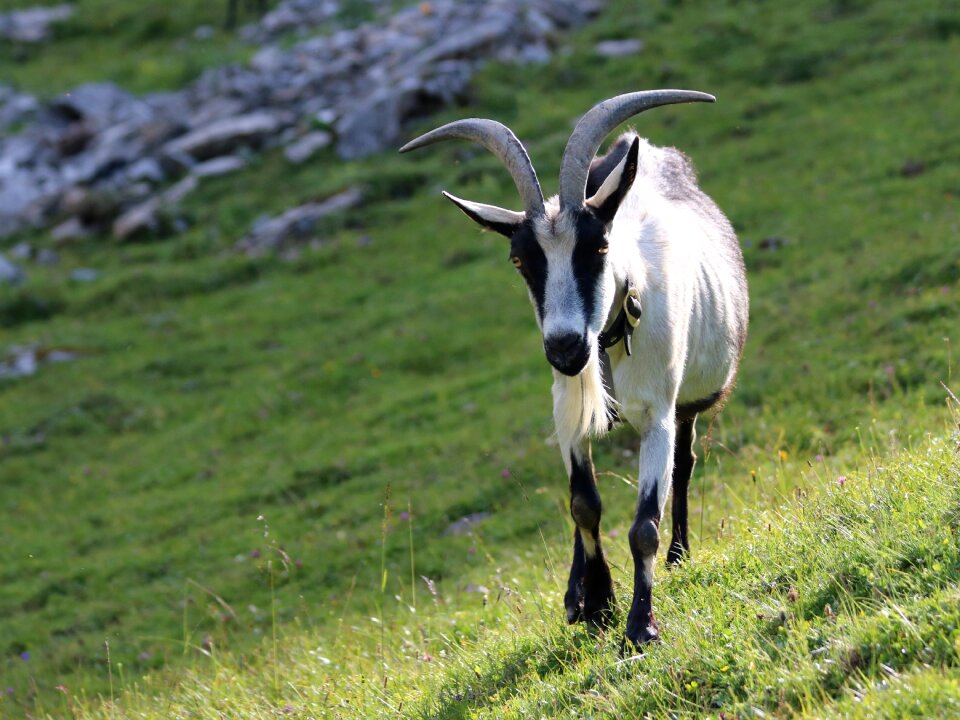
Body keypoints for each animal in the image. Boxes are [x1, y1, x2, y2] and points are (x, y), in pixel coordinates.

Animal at [400, 90, 752, 648]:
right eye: (520, 261)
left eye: (600, 247)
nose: (565, 348)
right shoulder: (567, 414)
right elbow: (583, 504)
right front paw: (597, 604)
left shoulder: (658, 413)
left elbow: (644, 525)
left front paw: (640, 625)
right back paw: (575, 592)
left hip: (690, 402)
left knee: (686, 463)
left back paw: (679, 554)